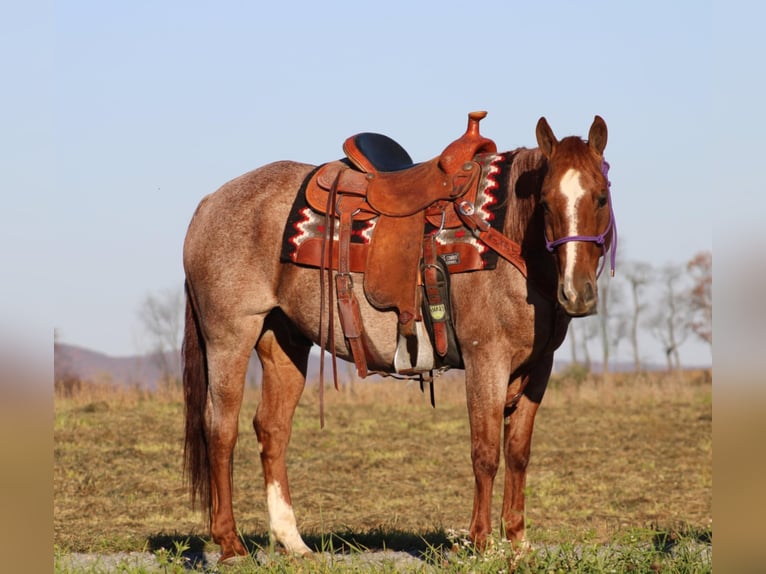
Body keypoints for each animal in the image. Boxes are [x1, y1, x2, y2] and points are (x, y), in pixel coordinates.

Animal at [182, 112, 616, 564]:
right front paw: (481, 543)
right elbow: (485, 453)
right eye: (545, 201)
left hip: (283, 342)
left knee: (272, 429)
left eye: (601, 197)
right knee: (221, 429)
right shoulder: (486, 361)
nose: (577, 293)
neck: (505, 234)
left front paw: (518, 542)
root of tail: (210, 203)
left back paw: (293, 542)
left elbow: (517, 453)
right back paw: (230, 543)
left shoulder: (537, 368)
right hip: (230, 337)